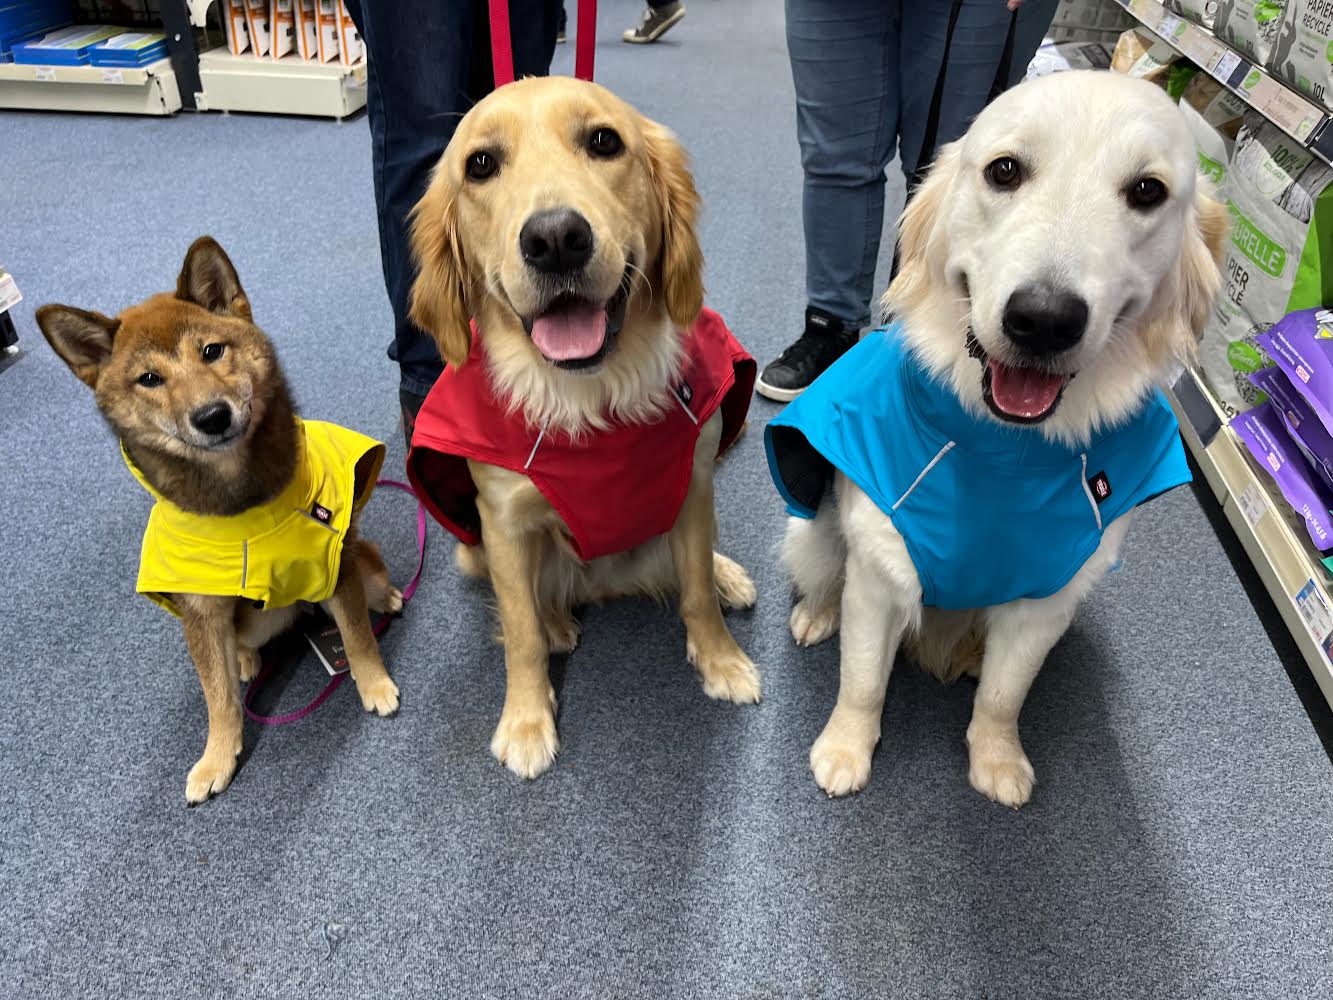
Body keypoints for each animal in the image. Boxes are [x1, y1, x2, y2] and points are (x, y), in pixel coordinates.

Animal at [36, 237, 399, 805]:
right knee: (238, 650)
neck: (242, 510)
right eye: (149, 379)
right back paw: (246, 660)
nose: (211, 416)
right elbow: (217, 697)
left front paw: (375, 684)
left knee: (369, 581)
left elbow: (358, 634)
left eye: (211, 351)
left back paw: (385, 597)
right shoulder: (199, 612)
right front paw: (216, 757)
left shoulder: (333, 564)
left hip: (357, 555)